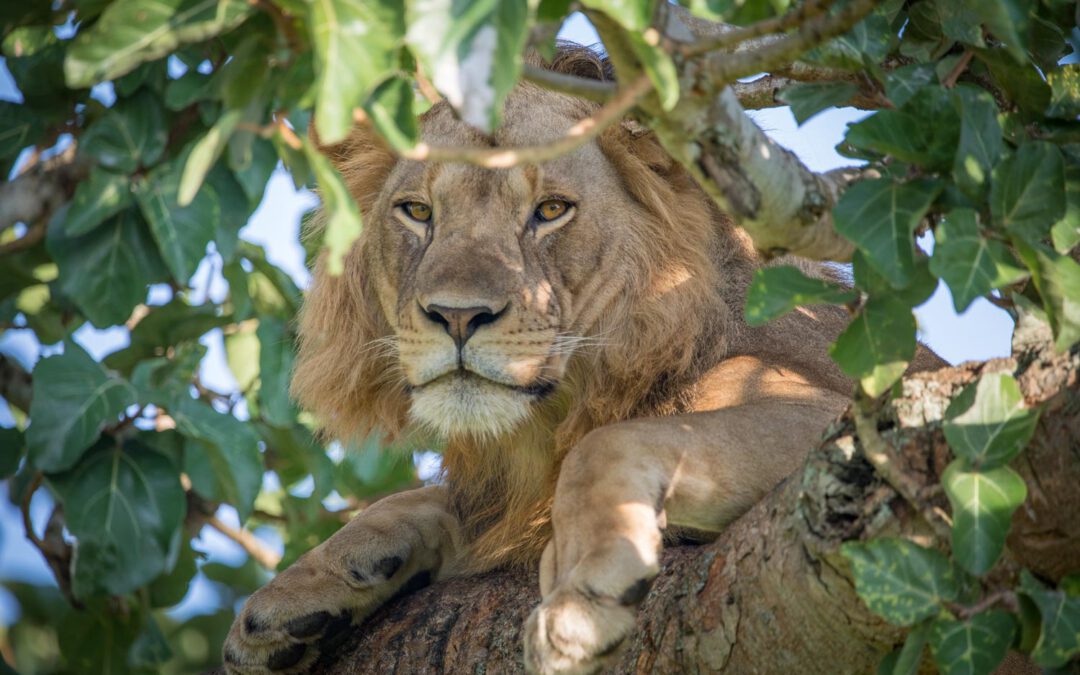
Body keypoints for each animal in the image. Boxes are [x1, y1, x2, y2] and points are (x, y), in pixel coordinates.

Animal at [223, 46, 940, 674]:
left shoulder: (842, 414)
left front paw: (578, 597)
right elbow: (426, 498)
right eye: (418, 212)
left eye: (550, 211)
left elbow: (607, 447)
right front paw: (292, 597)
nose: (456, 316)